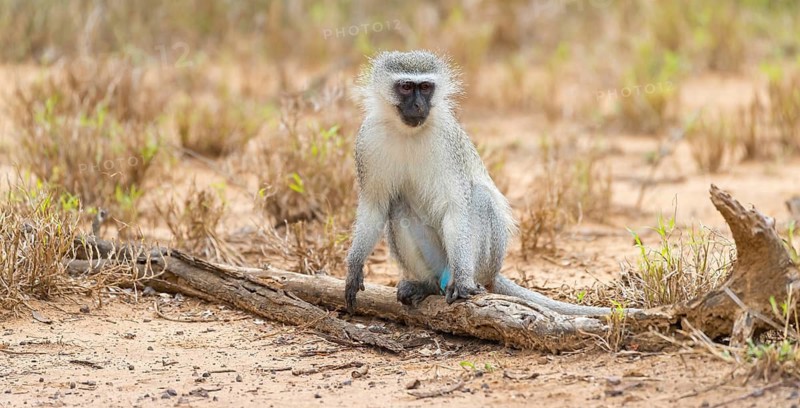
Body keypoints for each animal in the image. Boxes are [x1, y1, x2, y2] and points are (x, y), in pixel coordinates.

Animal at [344, 50, 617, 316]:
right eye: (406, 87)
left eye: (426, 87)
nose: (420, 105)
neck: (407, 132)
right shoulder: (368, 140)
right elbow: (375, 206)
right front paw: (354, 266)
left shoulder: (447, 142)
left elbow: (457, 207)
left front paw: (464, 281)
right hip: (438, 261)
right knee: (398, 207)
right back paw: (426, 285)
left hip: (485, 259)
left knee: (479, 198)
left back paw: (464, 281)